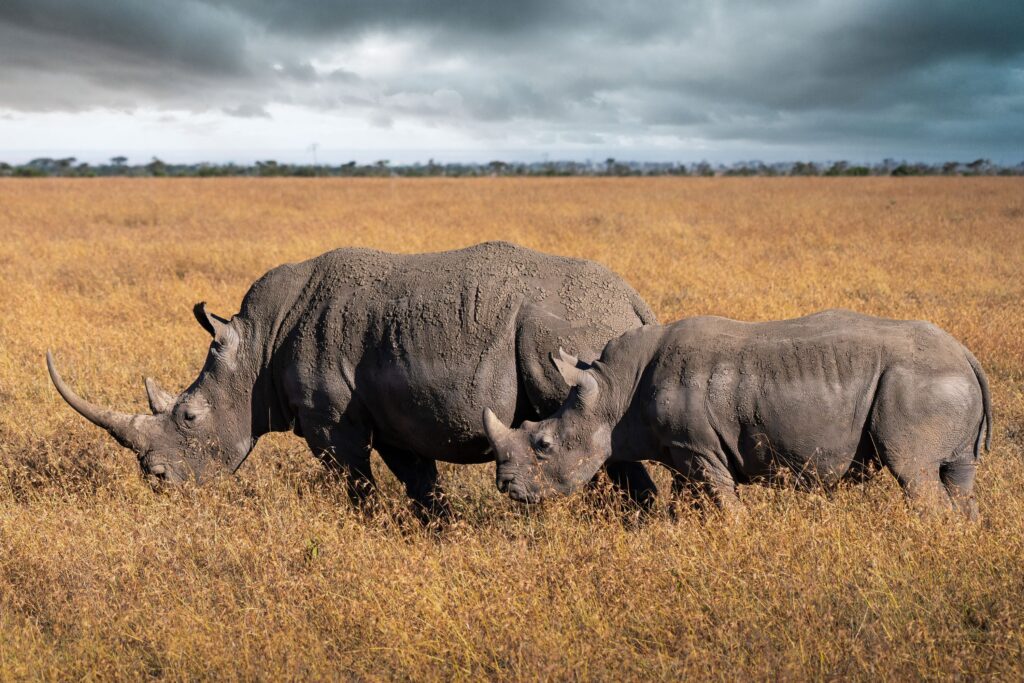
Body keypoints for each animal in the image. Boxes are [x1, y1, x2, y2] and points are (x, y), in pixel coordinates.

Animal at [47, 241, 660, 517]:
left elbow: (355, 484)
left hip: (566, 330)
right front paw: (438, 534)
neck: (256, 346)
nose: (157, 481)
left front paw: (367, 526)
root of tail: (633, 300)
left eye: (190, 417)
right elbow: (421, 485)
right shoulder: (398, 418)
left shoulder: (332, 424)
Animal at [483, 309, 992, 520]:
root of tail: (966, 354)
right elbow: (686, 502)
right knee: (957, 476)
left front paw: (734, 534)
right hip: (942, 383)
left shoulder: (699, 448)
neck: (612, 393)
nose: (505, 486)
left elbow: (724, 503)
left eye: (544, 445)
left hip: (918, 384)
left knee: (914, 472)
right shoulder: (684, 449)